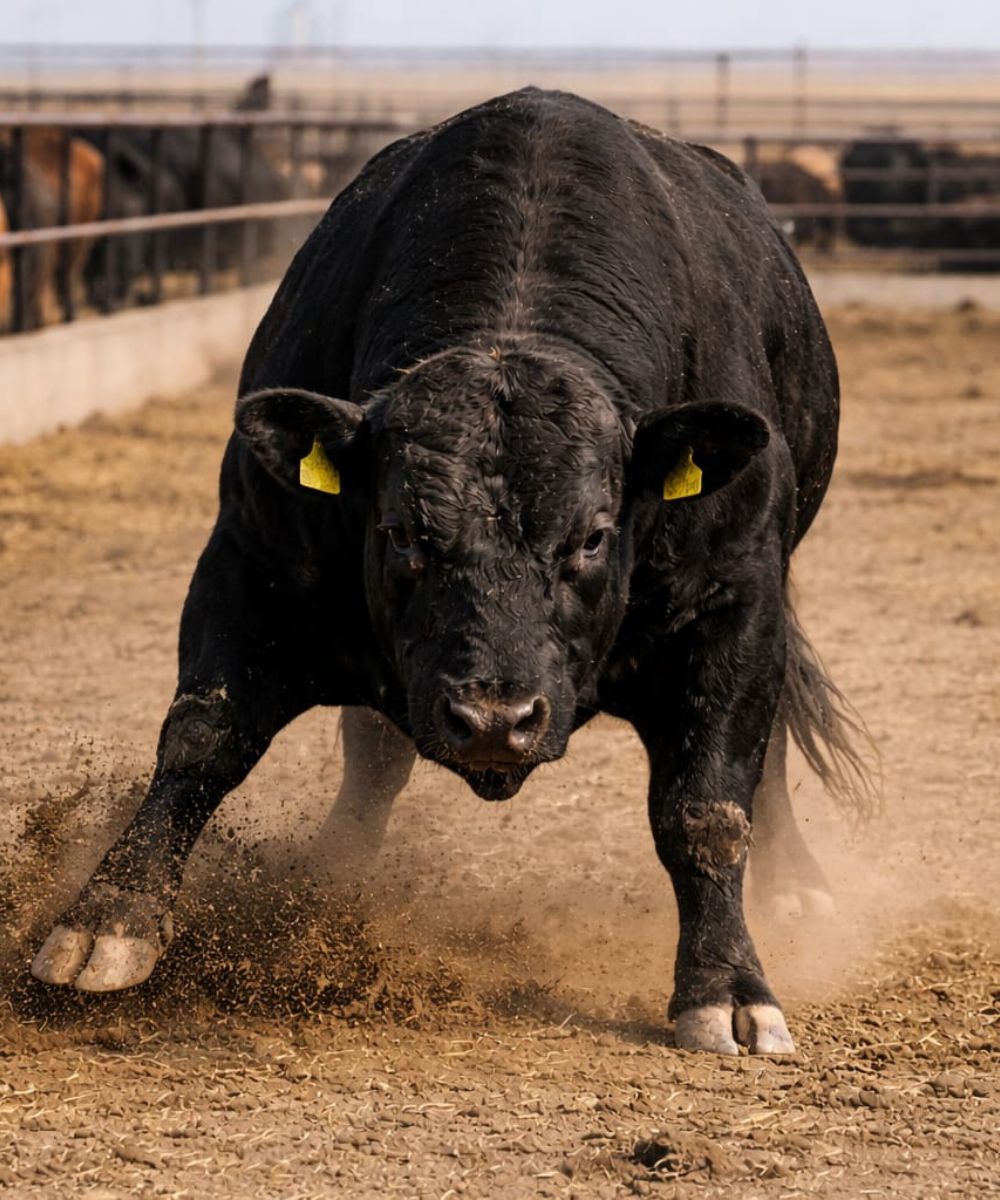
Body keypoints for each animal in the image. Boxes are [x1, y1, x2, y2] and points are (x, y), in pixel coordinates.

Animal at [32, 89, 871, 1056]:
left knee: (763, 764)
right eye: (401, 531)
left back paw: (796, 883)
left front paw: (728, 987)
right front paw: (105, 922)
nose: (494, 720)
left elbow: (707, 806)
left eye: (593, 536)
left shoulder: (734, 605)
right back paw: (336, 870)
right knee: (373, 752)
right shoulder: (248, 563)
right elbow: (202, 738)